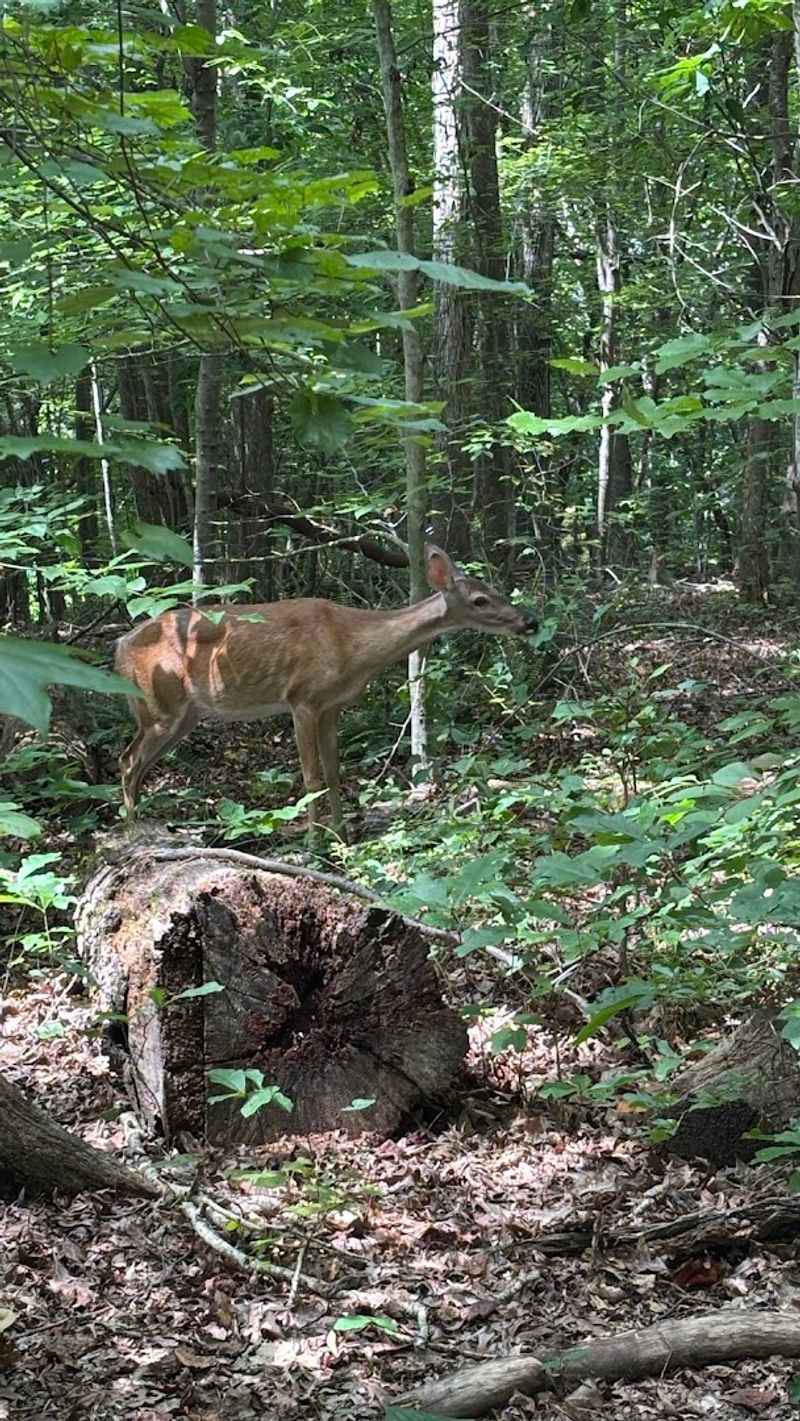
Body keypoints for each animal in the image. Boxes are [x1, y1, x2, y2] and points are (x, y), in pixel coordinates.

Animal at [115, 544, 537, 833]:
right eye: (480, 599)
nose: (528, 621)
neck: (351, 645)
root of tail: (119, 647)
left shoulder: (333, 705)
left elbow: (334, 772)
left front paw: (343, 834)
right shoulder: (302, 698)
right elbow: (311, 776)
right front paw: (315, 840)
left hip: (185, 713)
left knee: (137, 763)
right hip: (159, 705)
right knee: (128, 760)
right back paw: (133, 833)